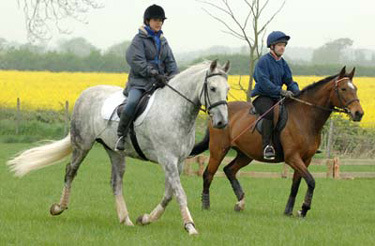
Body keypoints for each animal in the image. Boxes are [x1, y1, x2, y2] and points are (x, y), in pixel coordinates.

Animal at [8, 60, 232, 234]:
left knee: (116, 182)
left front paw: (146, 219)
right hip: (82, 144)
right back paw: (58, 208)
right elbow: (179, 193)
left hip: (115, 151)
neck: (175, 109)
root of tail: (85, 93)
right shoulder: (167, 159)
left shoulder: (178, 161)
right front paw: (190, 226)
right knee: (70, 172)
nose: (222, 123)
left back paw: (126, 220)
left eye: (227, 90)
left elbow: (169, 193)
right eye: (212, 88)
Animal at [191, 67, 364, 217]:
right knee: (208, 174)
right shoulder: (293, 157)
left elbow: (296, 184)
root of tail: (216, 114)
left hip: (246, 154)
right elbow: (311, 181)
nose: (359, 113)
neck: (305, 117)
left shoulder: (305, 159)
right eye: (343, 89)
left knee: (229, 170)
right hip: (218, 150)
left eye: (355, 88)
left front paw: (289, 211)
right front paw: (304, 209)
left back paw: (240, 202)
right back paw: (206, 205)